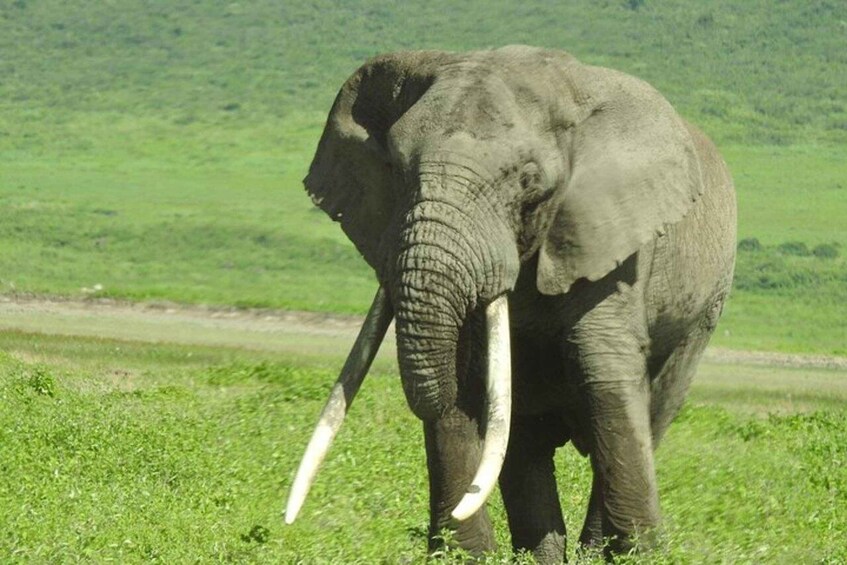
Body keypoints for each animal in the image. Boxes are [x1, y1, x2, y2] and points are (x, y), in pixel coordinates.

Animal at [285, 46, 736, 561]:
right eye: (395, 171)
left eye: (528, 182)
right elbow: (460, 375)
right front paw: (463, 556)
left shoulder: (612, 239)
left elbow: (605, 372)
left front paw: (641, 554)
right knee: (523, 440)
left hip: (705, 312)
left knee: (654, 406)